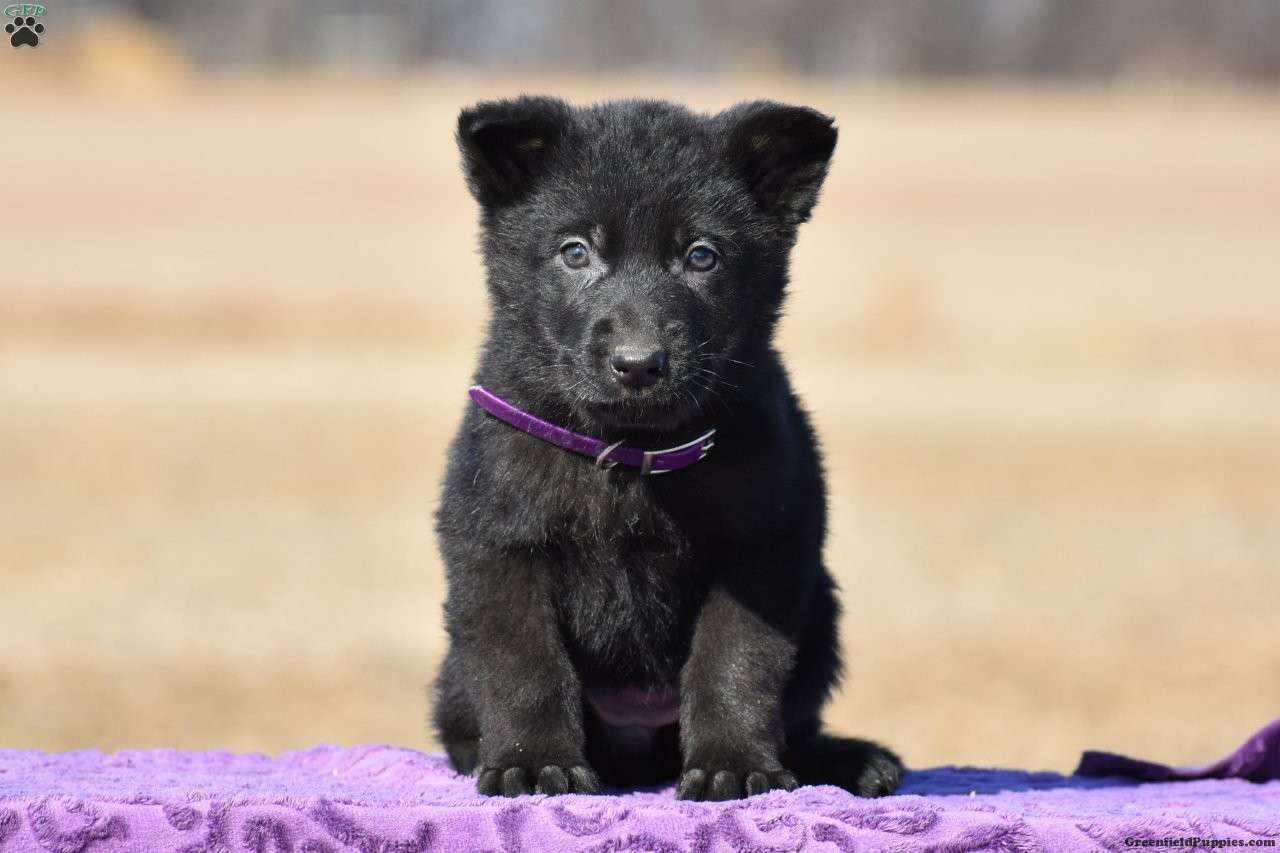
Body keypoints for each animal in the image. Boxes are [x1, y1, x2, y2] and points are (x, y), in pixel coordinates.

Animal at [432, 96, 903, 801]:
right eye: (575, 252)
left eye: (702, 256)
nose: (638, 364)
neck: (629, 454)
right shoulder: (497, 548)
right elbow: (525, 666)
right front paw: (534, 763)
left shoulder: (763, 549)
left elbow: (733, 663)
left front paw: (733, 762)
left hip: (821, 615)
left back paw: (853, 760)